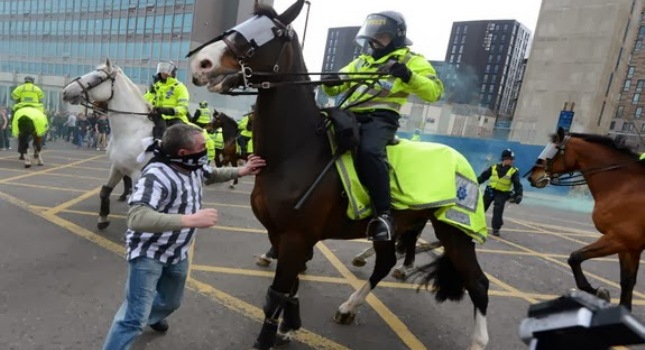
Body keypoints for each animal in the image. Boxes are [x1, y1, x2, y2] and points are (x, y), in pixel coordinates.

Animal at [62, 57, 153, 230]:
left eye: (97, 78)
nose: (66, 91)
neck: (132, 130)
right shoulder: (117, 167)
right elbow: (105, 191)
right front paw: (103, 218)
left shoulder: (137, 173)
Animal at [189, 1, 490, 348]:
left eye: (270, 33)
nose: (201, 62)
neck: (295, 152)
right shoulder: (279, 234)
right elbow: (290, 288)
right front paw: (289, 326)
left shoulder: (295, 237)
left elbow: (277, 293)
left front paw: (270, 336)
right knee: (385, 263)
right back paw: (350, 306)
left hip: (455, 231)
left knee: (478, 283)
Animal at [524, 128, 644, 308]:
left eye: (556, 149)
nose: (532, 177)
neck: (625, 186)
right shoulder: (630, 247)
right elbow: (627, 282)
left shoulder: (619, 239)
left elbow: (575, 258)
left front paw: (595, 291)